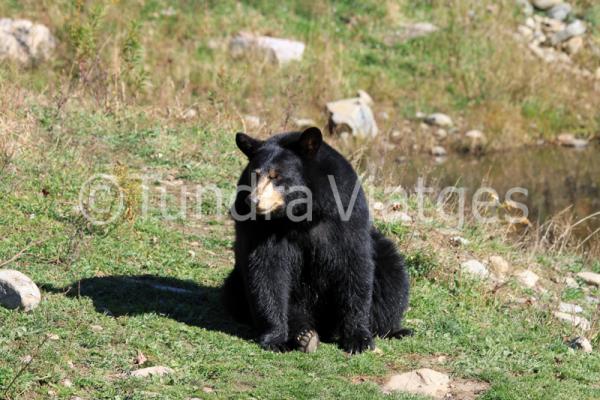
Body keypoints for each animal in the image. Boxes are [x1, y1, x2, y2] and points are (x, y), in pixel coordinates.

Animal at [223, 126, 410, 354]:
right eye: (255, 174)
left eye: (276, 176)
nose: (253, 201)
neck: (301, 213)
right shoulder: (258, 227)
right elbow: (266, 270)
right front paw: (276, 338)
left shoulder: (343, 211)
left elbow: (353, 264)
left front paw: (358, 338)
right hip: (238, 283)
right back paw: (304, 335)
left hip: (382, 255)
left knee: (392, 277)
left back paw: (393, 329)